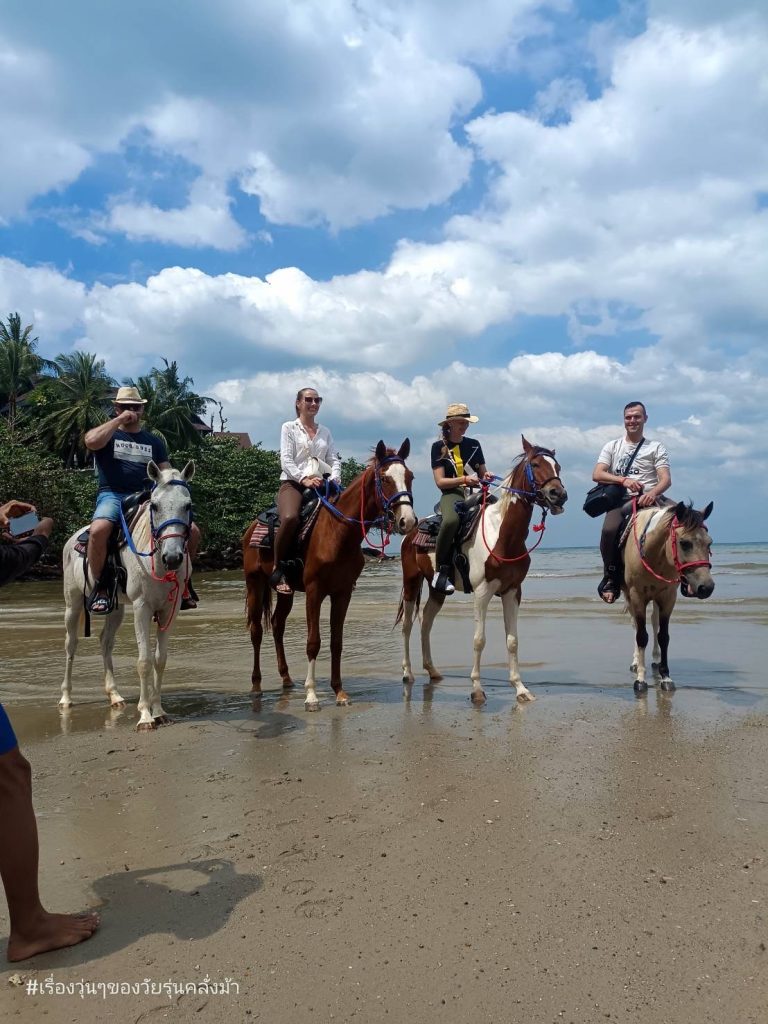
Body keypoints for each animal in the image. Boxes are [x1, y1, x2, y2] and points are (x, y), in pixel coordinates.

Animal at [60, 460, 195, 733]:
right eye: (154, 506)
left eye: (187, 505)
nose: (173, 557)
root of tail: (73, 538)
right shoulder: (142, 607)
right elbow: (144, 661)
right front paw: (145, 716)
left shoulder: (170, 609)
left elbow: (160, 659)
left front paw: (160, 711)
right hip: (73, 603)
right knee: (71, 644)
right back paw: (66, 698)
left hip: (116, 608)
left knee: (105, 641)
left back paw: (114, 695)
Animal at [244, 440, 415, 712]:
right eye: (386, 479)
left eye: (410, 477)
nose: (407, 521)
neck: (338, 533)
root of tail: (250, 528)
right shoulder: (314, 592)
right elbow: (314, 642)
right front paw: (312, 696)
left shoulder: (342, 593)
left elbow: (337, 642)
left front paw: (339, 692)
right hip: (254, 583)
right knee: (256, 631)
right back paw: (256, 685)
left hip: (286, 592)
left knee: (277, 625)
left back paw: (286, 678)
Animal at [399, 436, 569, 708]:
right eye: (535, 464)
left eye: (558, 467)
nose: (559, 494)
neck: (503, 535)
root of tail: (412, 530)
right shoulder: (482, 591)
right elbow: (479, 640)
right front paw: (477, 690)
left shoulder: (512, 591)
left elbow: (512, 640)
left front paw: (520, 689)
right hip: (411, 581)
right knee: (407, 625)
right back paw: (407, 673)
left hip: (437, 589)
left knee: (426, 622)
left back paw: (433, 671)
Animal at [626, 497, 716, 696]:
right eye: (684, 543)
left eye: (710, 543)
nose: (706, 587)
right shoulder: (637, 597)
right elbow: (641, 635)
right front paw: (640, 679)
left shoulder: (668, 598)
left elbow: (663, 636)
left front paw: (666, 677)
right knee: (636, 625)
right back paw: (635, 662)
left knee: (654, 622)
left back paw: (655, 658)